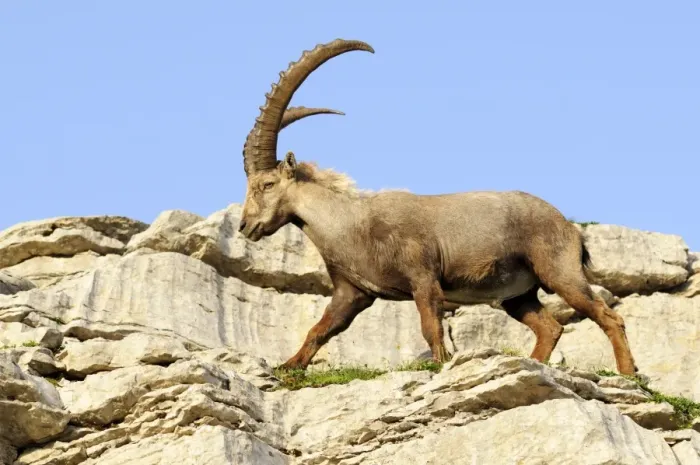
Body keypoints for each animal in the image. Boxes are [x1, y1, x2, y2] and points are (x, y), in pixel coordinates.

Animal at [237, 39, 638, 375]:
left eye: (266, 184)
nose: (245, 226)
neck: (351, 224)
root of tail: (569, 227)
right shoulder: (352, 293)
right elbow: (320, 329)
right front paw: (288, 367)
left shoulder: (423, 277)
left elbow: (430, 327)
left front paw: (440, 363)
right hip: (518, 295)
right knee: (550, 327)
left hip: (559, 272)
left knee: (607, 316)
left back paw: (628, 374)